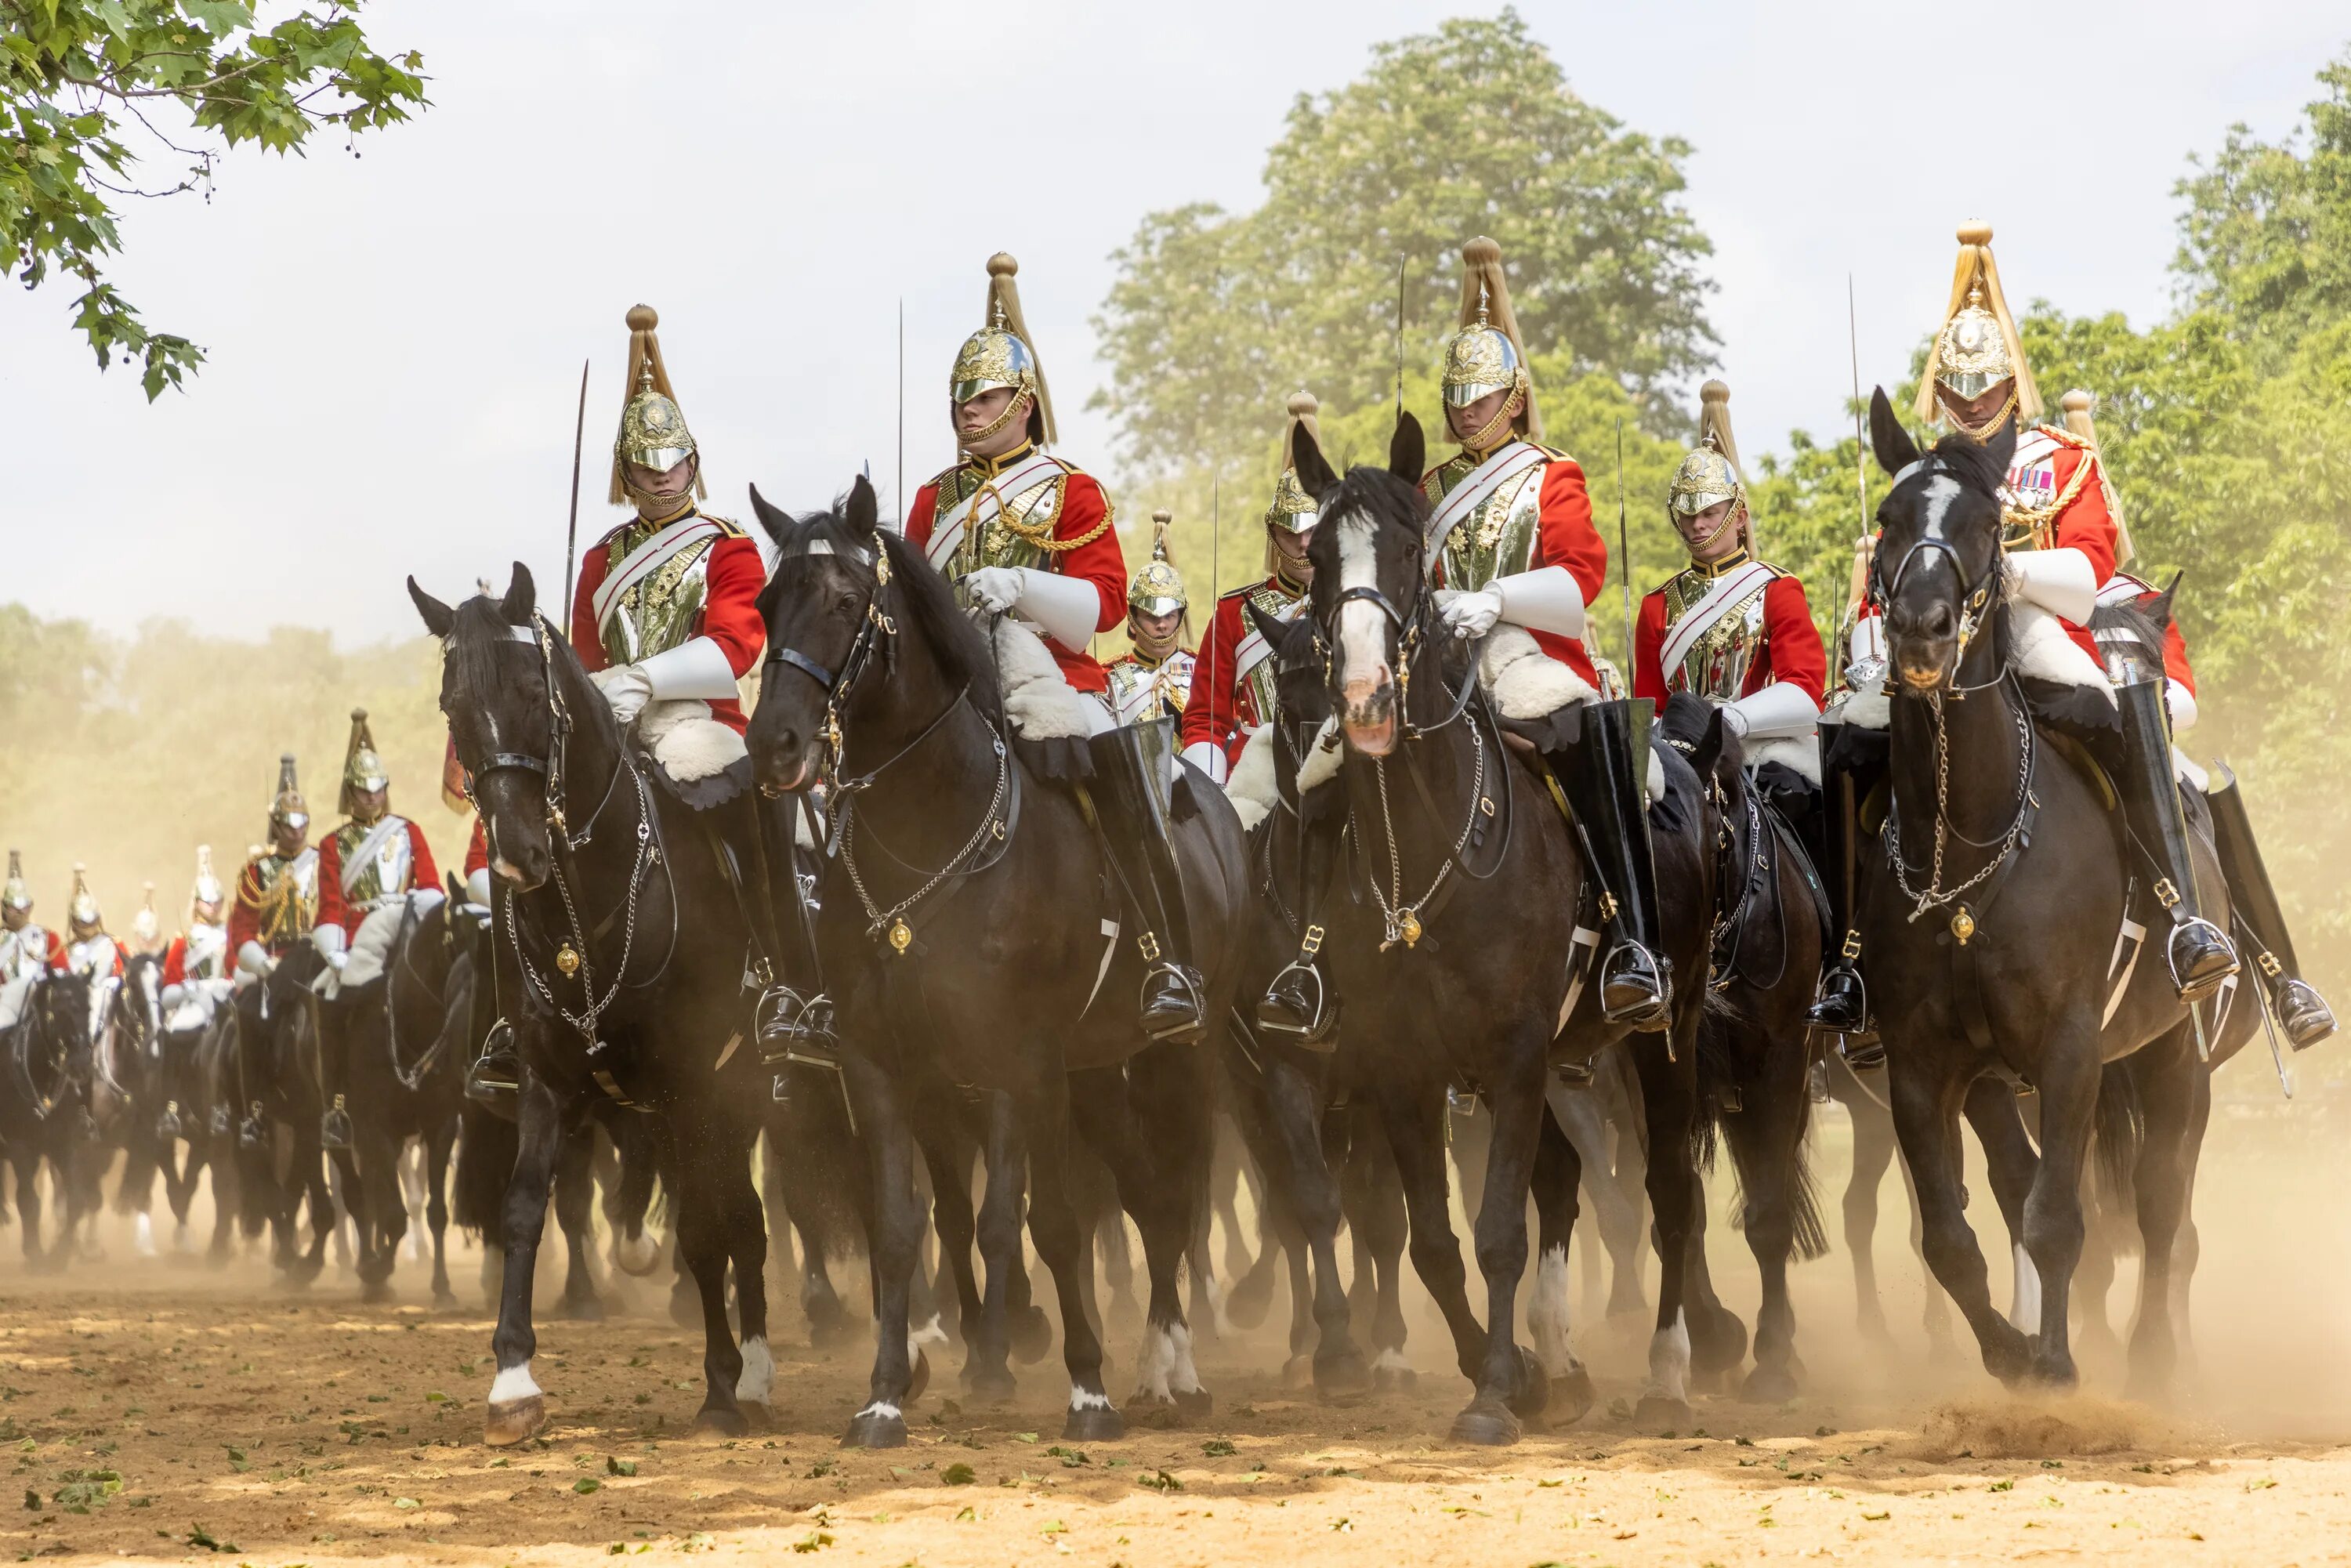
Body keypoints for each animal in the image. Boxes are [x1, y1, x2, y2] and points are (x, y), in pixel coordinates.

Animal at [743, 480, 1260, 1448]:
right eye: (763, 603)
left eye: (844, 600)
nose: (775, 745)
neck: (932, 830)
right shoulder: (882, 1063)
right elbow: (902, 1227)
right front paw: (883, 1396)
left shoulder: (1020, 1061)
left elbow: (1034, 1219)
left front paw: (1084, 1388)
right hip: (1095, 1071)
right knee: (1144, 1193)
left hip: (1180, 1056)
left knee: (1173, 1197)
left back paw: (1172, 1365)